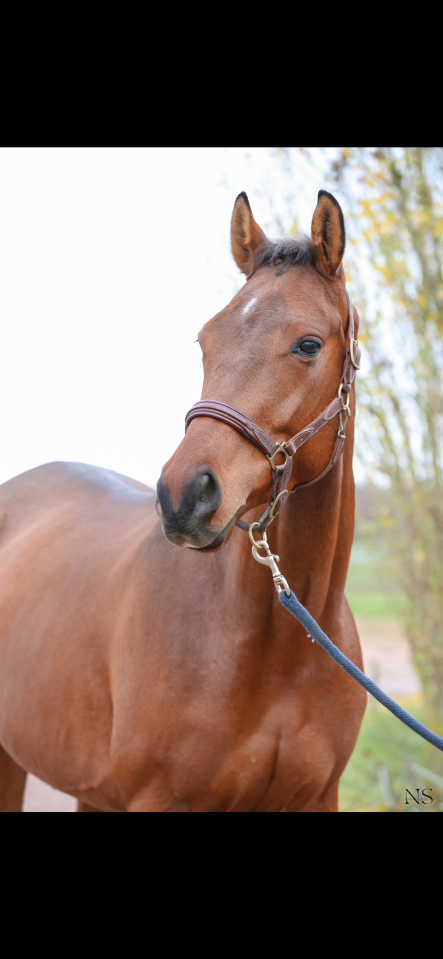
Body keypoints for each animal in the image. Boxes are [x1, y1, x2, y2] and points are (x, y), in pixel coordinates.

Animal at [0, 189, 366, 812]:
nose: (182, 496)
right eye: (205, 341)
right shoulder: (158, 797)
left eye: (309, 344)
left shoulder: (319, 797)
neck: (282, 652)